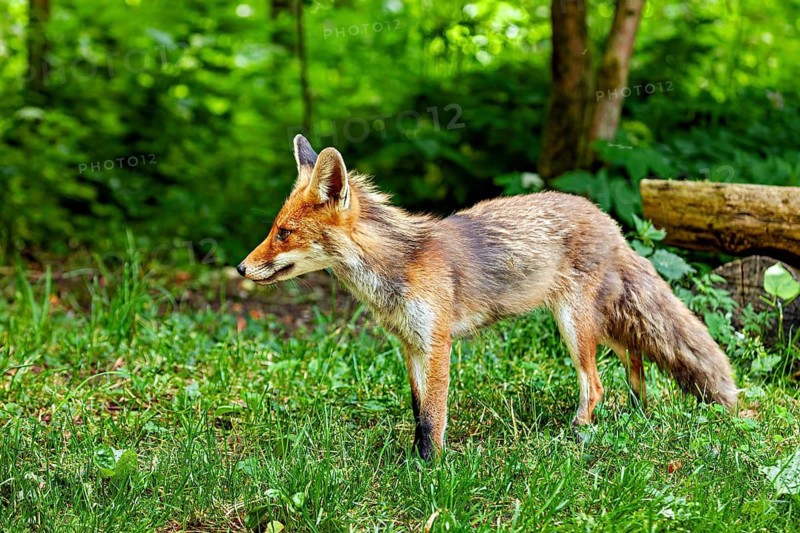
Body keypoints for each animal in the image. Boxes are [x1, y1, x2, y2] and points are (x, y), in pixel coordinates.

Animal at [237, 135, 738, 459]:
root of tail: (610, 222)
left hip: (574, 326)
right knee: (635, 356)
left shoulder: (437, 343)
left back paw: (576, 434)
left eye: (284, 233)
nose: (241, 268)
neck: (396, 269)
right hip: (598, 325)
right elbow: (418, 411)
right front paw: (413, 459)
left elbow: (433, 417)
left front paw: (429, 471)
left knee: (595, 384)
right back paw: (638, 410)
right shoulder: (410, 346)